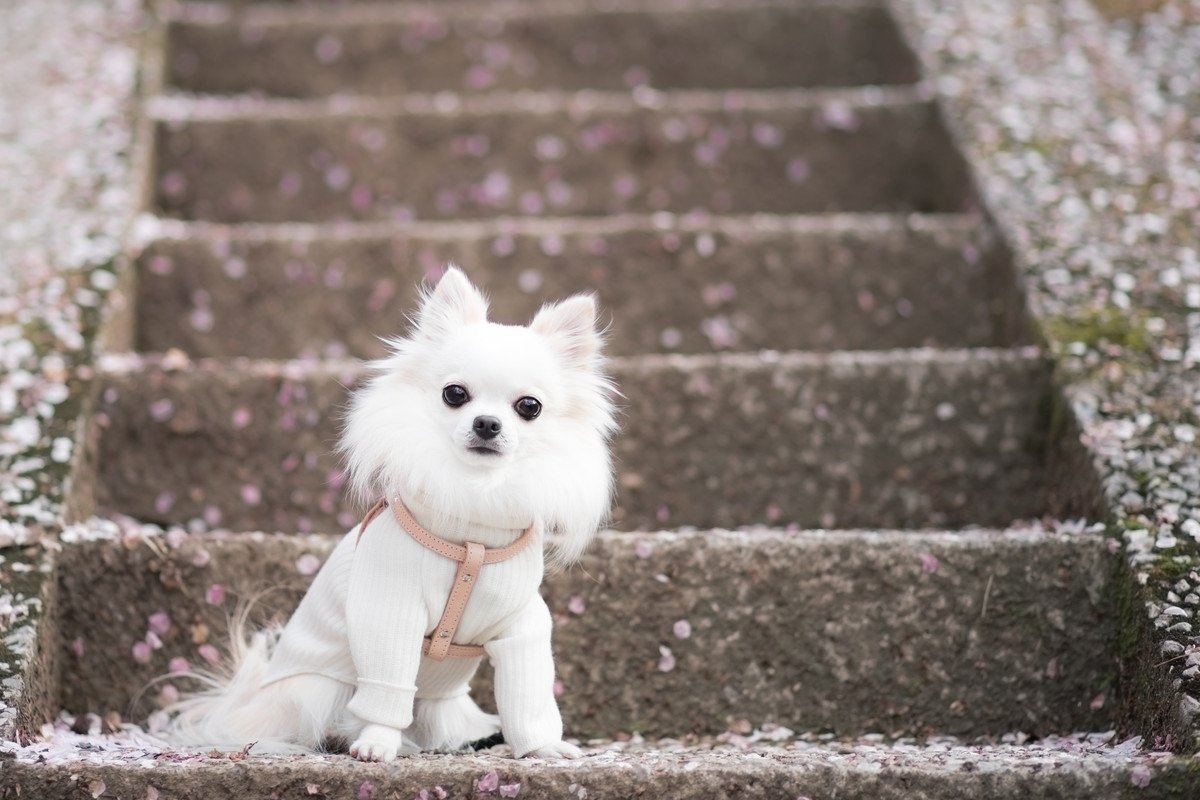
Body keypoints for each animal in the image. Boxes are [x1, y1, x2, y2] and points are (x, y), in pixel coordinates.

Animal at [166, 266, 619, 762]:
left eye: (529, 407)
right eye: (455, 394)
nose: (486, 423)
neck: (472, 525)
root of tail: (250, 707)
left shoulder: (523, 626)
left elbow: (530, 693)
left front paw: (542, 747)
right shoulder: (389, 613)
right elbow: (388, 686)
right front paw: (377, 744)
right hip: (317, 688)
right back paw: (345, 736)